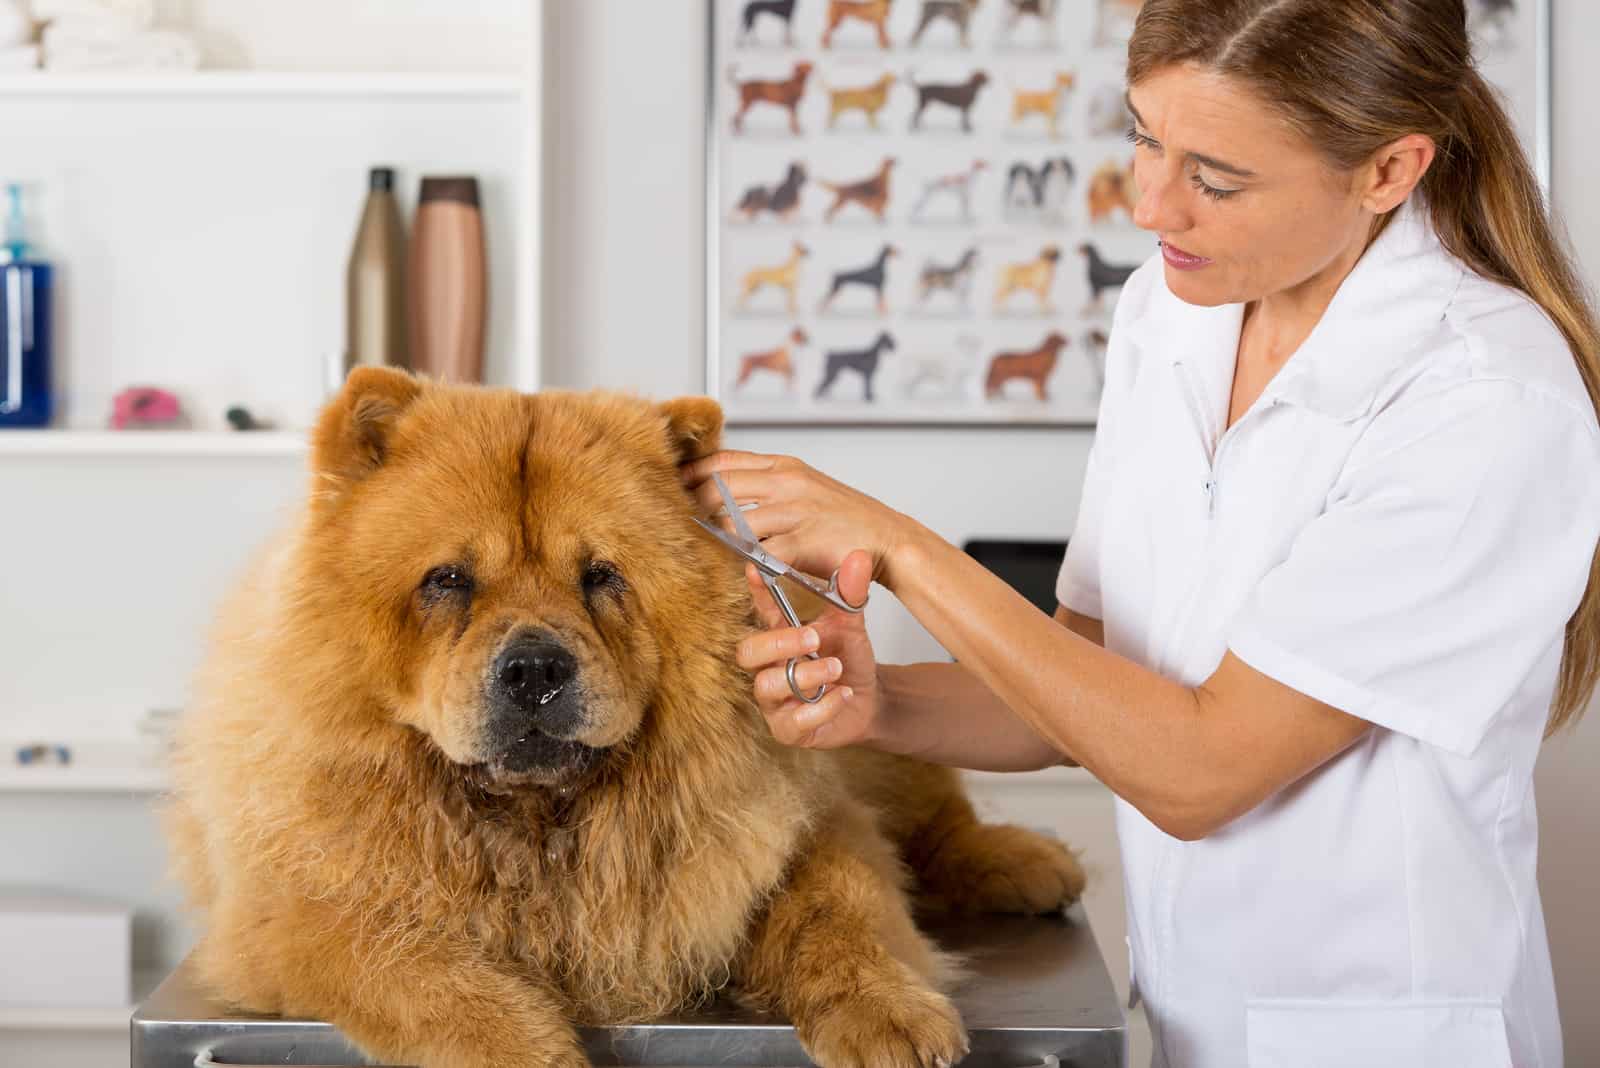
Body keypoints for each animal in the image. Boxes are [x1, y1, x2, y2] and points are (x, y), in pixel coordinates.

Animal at [165, 369, 1088, 1068]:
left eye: (602, 576)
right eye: (448, 580)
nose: (535, 668)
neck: (544, 831)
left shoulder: (812, 825)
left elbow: (842, 909)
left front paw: (890, 1015)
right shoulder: (294, 911)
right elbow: (420, 970)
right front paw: (532, 1053)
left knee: (940, 822)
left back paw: (1030, 863)